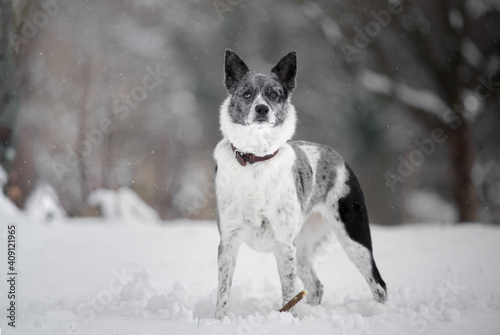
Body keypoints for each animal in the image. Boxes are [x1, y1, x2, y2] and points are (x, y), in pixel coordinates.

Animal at [214, 50, 386, 320]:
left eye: (274, 94)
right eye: (247, 94)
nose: (262, 109)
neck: (256, 159)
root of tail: (339, 158)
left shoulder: (284, 244)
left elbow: (288, 292)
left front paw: (288, 321)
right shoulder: (228, 241)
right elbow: (223, 291)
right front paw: (219, 321)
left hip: (354, 238)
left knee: (379, 284)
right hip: (303, 248)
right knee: (316, 287)